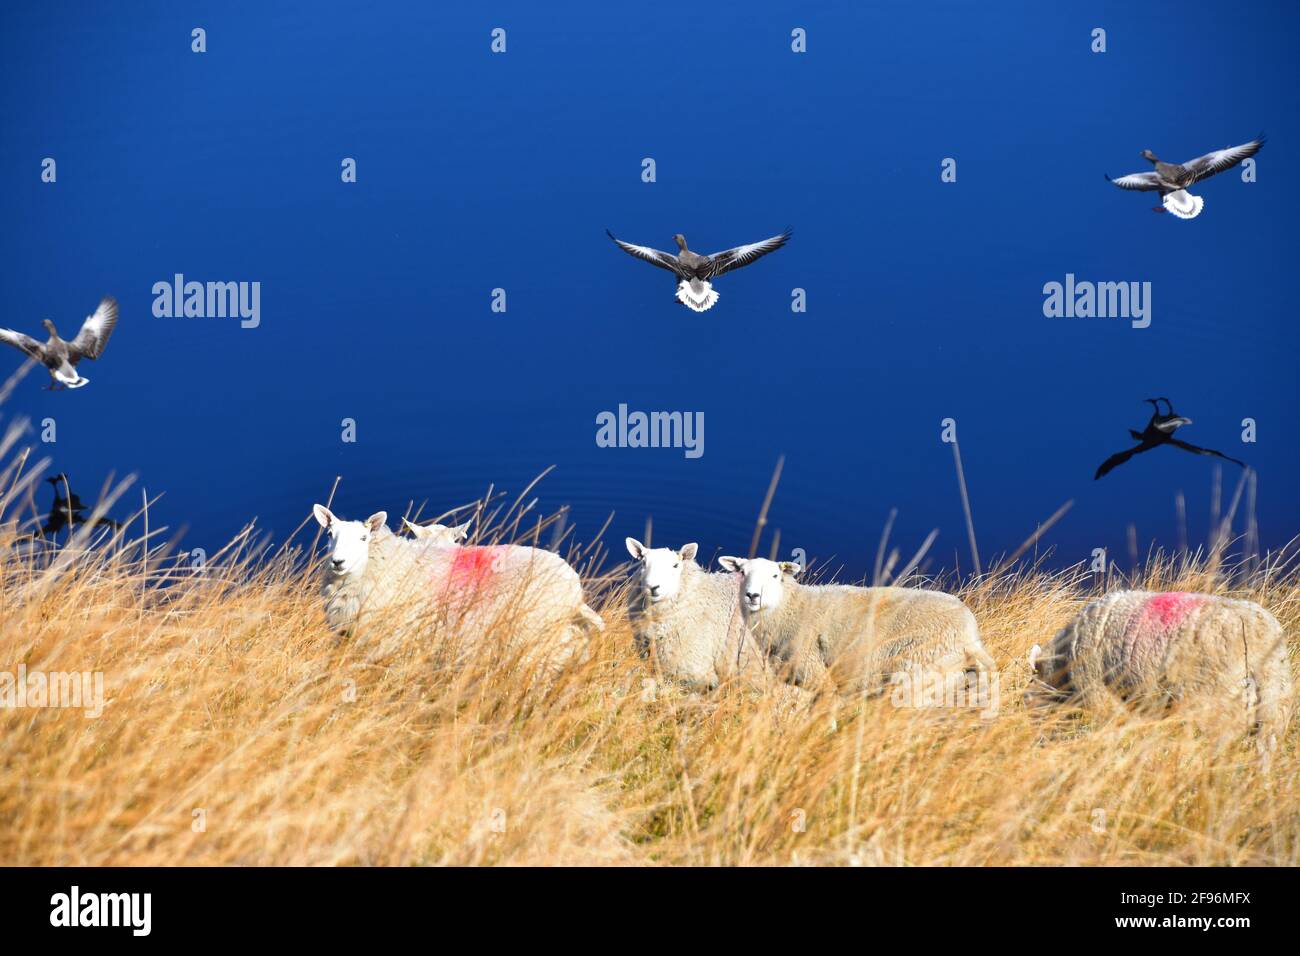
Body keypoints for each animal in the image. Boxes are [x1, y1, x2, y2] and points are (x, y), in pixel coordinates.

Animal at [717, 554, 987, 697]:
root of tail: (970, 638)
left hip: (917, 677)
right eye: (742, 572)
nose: (752, 595)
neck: (792, 607)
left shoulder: (817, 677)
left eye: (775, 575)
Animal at [1024, 590, 1289, 749]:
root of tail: (1259, 636)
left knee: (1224, 735)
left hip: (1215, 692)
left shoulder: (1097, 690)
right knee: (1267, 740)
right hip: (1275, 695)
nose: (1038, 741)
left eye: (1027, 701)